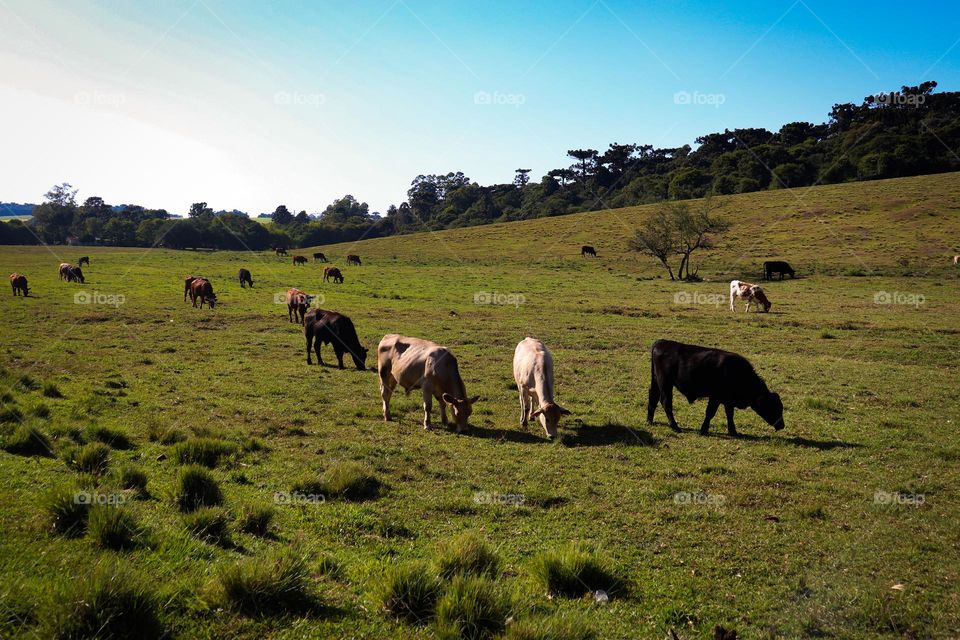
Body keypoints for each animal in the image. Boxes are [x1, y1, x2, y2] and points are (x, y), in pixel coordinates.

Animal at [646, 339, 784, 436]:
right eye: (773, 407)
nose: (782, 425)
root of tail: (661, 342)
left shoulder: (728, 400)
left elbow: (730, 414)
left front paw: (733, 431)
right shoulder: (715, 397)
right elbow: (710, 413)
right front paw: (704, 430)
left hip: (656, 382)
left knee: (653, 398)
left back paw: (649, 421)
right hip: (665, 384)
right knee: (666, 402)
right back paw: (675, 426)